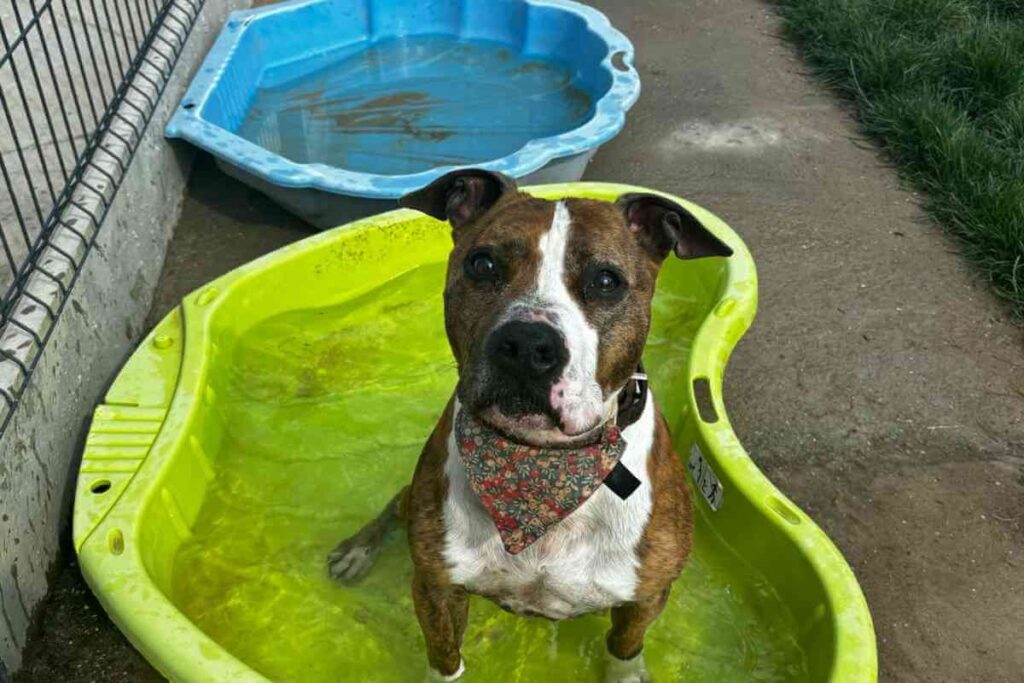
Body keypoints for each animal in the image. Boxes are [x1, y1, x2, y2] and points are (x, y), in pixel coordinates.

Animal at [323, 167, 733, 679]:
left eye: (606, 280)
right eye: (482, 264)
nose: (526, 344)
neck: (542, 466)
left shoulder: (648, 594)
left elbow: (625, 643)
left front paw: (627, 671)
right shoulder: (436, 587)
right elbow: (444, 657)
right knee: (397, 501)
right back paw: (357, 549)